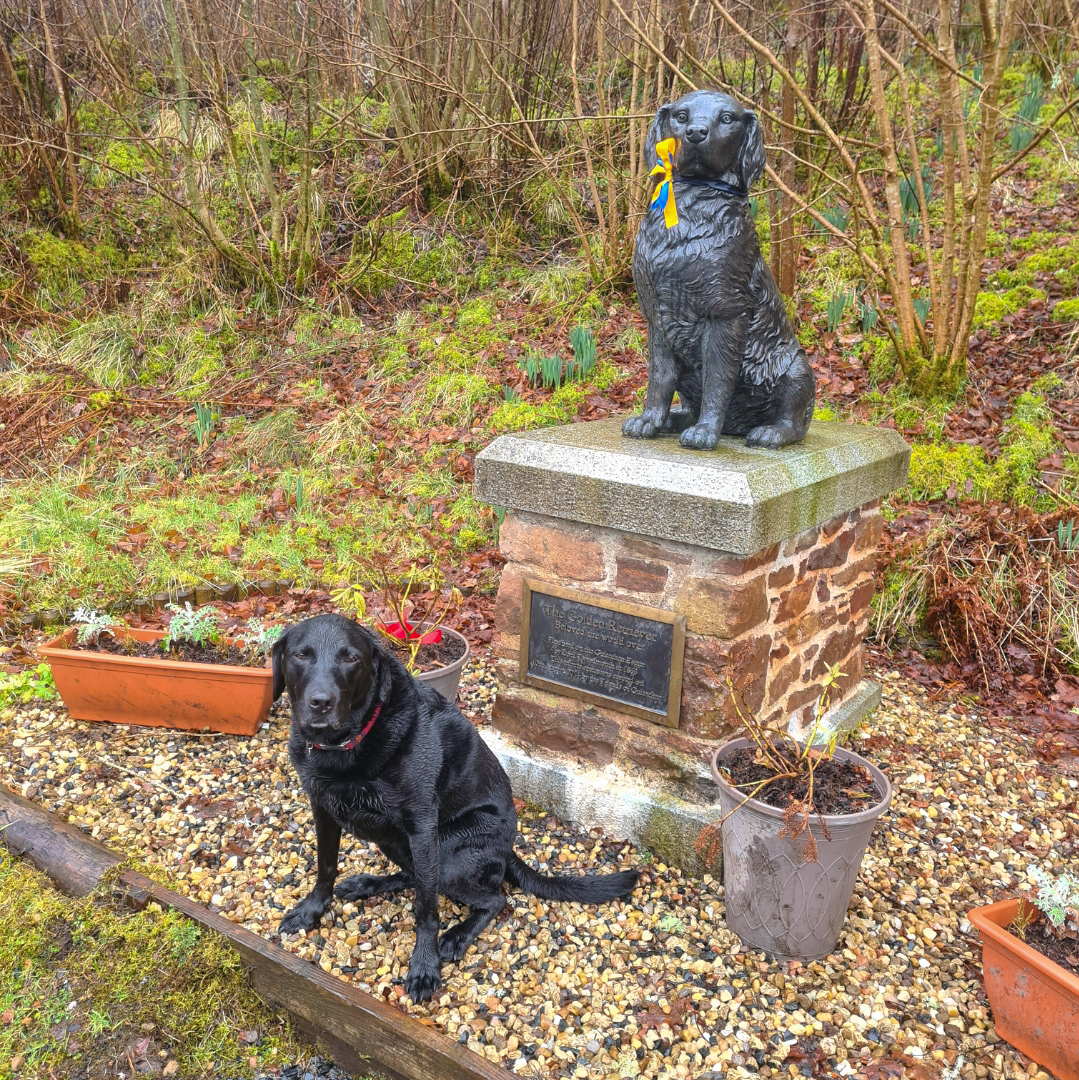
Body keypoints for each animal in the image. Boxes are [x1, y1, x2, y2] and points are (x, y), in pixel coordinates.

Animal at [274, 617, 635, 1002]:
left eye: (351, 658)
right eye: (301, 655)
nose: (320, 702)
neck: (344, 746)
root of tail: (508, 851)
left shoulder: (421, 826)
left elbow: (427, 910)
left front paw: (424, 967)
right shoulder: (322, 808)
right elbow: (325, 868)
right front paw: (311, 911)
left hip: (447, 853)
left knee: (492, 898)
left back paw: (457, 936)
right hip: (397, 842)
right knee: (417, 877)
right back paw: (367, 884)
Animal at [622, 87, 812, 451]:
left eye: (726, 118)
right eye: (681, 115)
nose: (696, 132)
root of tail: (736, 426)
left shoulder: (725, 315)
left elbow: (718, 378)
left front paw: (705, 432)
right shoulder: (657, 318)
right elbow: (659, 378)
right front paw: (649, 420)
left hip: (796, 365)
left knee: (796, 418)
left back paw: (769, 432)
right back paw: (676, 419)